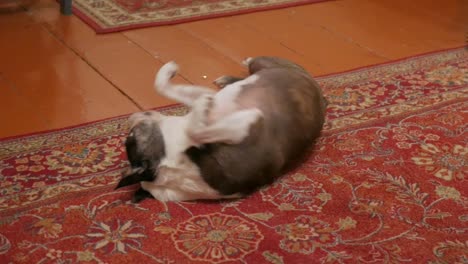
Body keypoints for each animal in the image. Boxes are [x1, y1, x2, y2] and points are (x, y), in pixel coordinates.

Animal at [115, 56, 328, 202]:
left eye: (130, 135)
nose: (131, 119)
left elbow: (162, 86)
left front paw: (168, 70)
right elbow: (197, 128)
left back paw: (228, 78)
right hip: (267, 64)